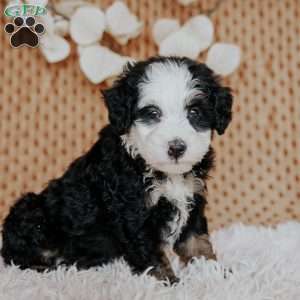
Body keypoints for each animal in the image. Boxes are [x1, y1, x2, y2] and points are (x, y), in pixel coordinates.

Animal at [1, 56, 233, 284]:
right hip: (32, 211)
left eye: (195, 112)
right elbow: (150, 252)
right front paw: (167, 282)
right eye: (153, 113)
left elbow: (197, 241)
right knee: (18, 257)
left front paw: (213, 271)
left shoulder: (193, 197)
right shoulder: (133, 210)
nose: (176, 147)